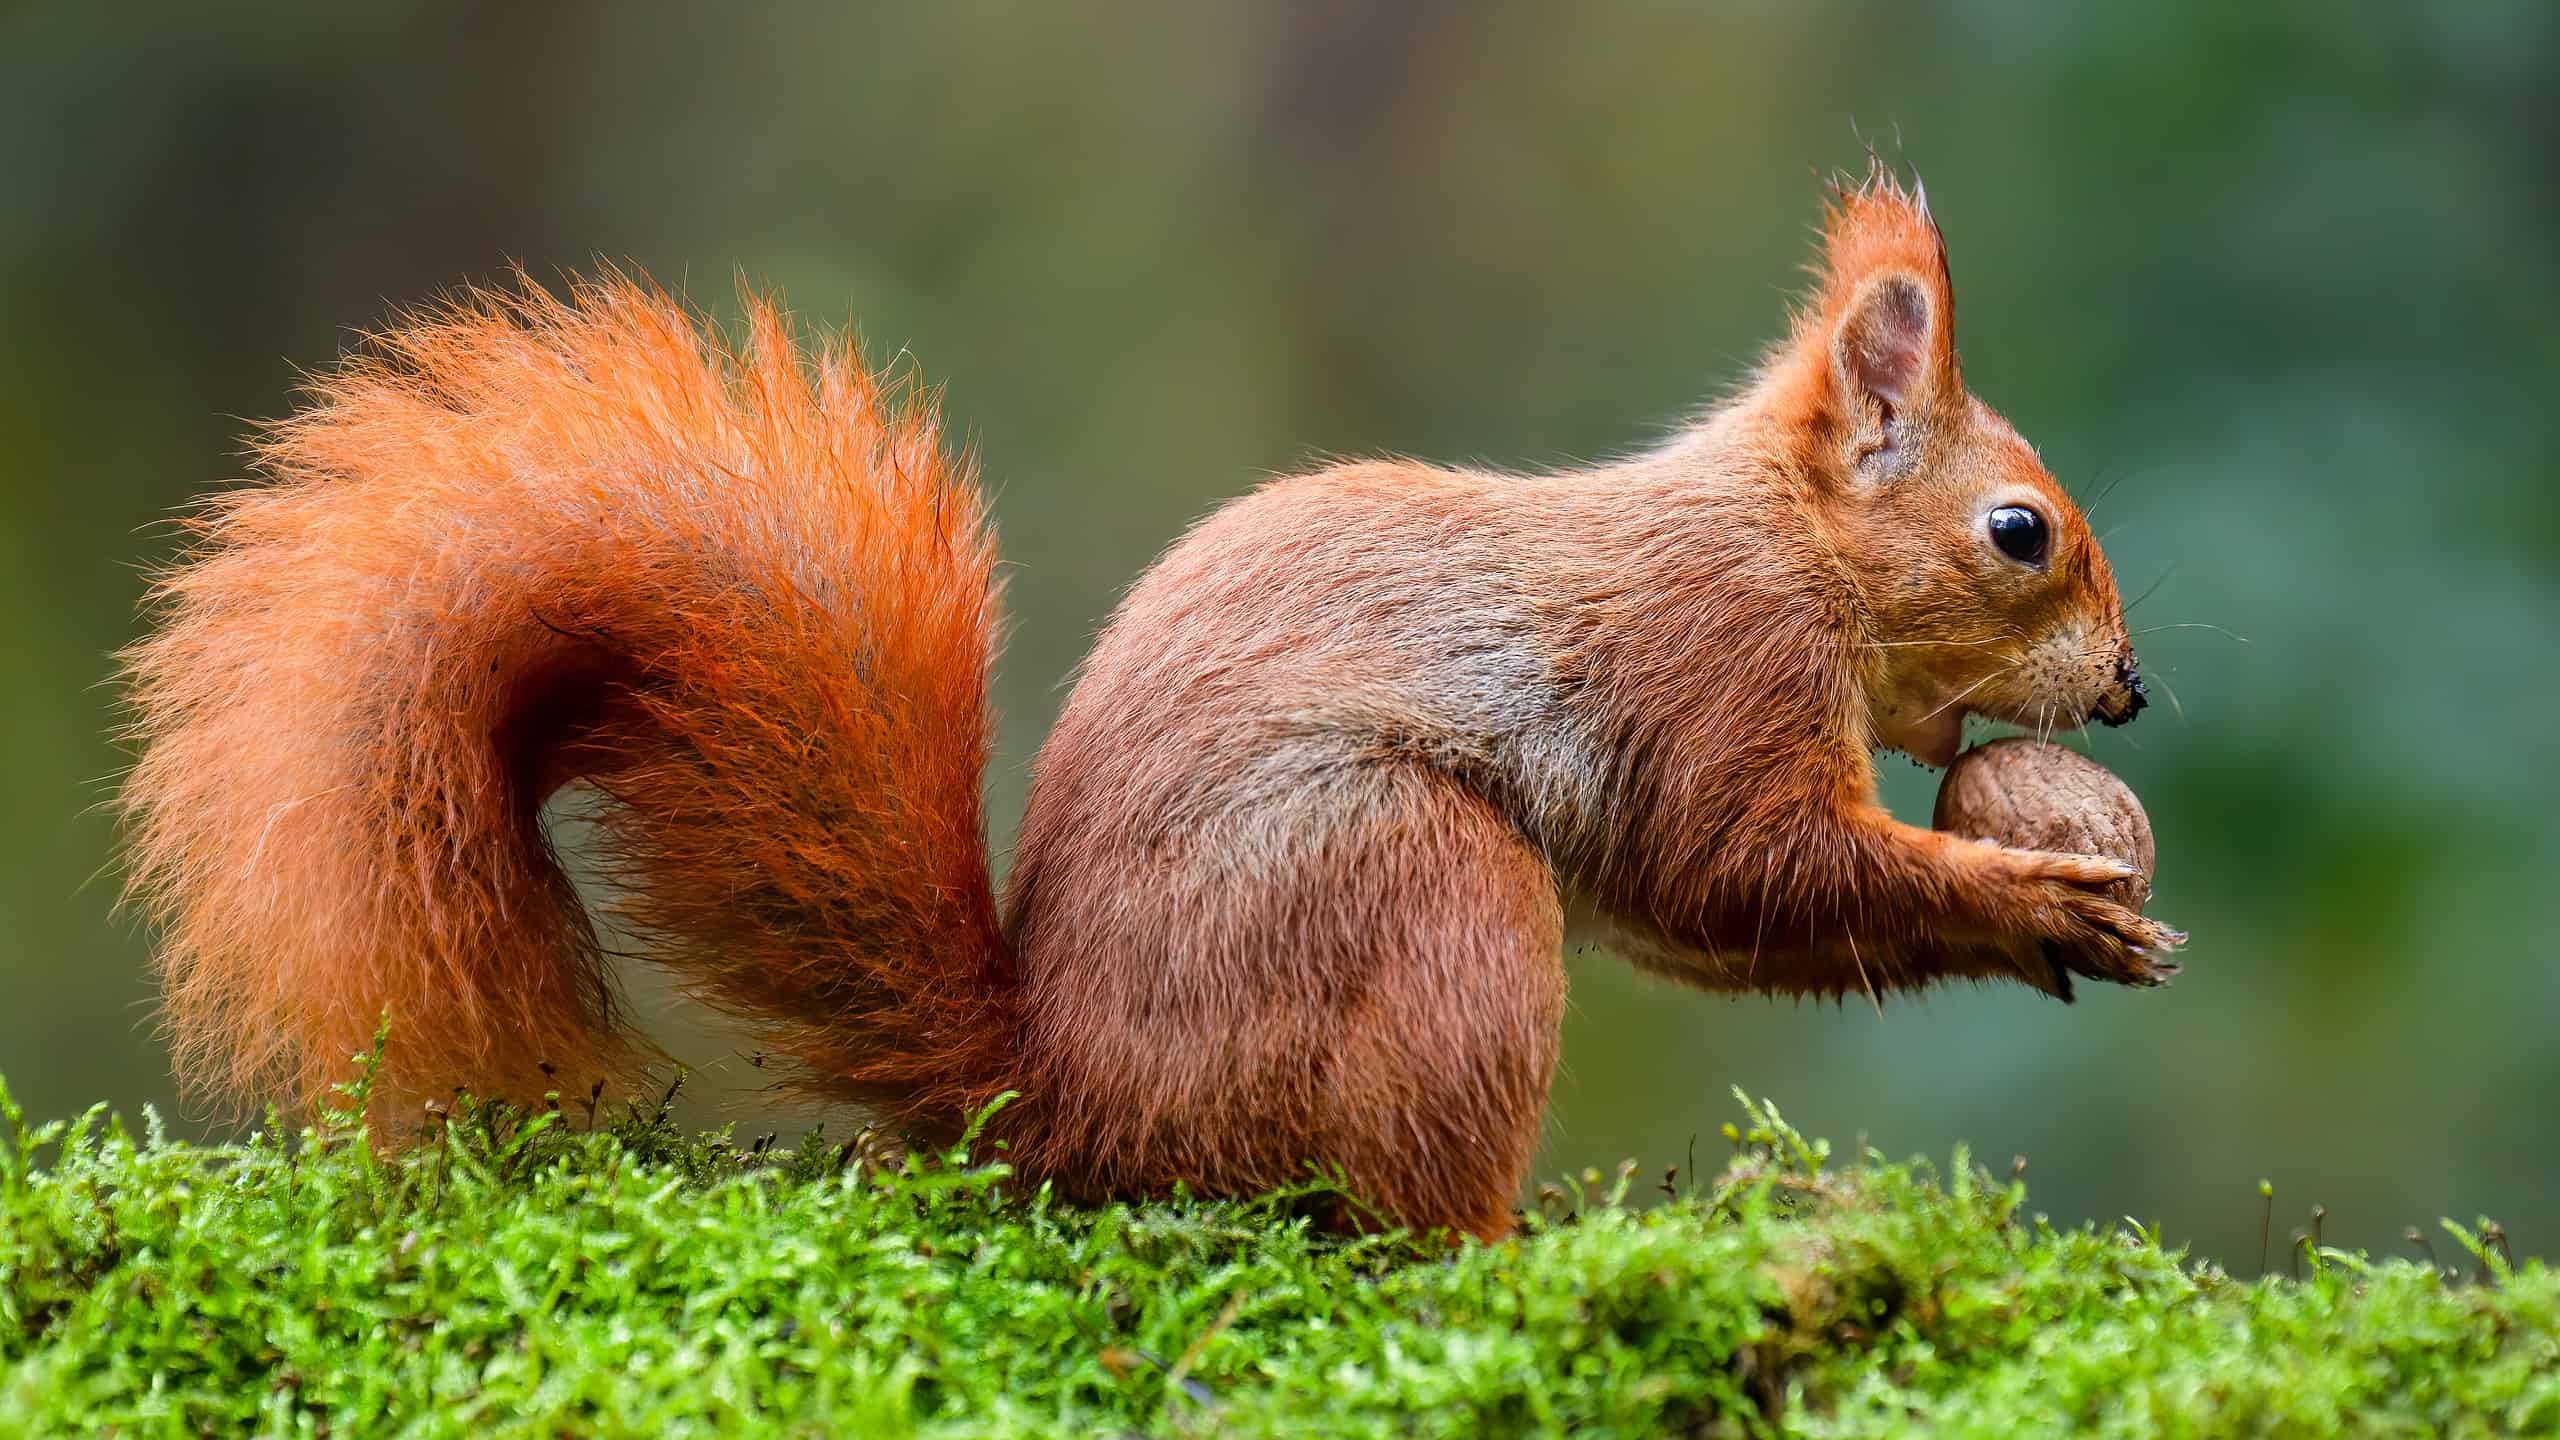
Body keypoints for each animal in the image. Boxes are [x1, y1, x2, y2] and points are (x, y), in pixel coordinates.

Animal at [124, 165, 2181, 1219]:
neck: (1782, 547)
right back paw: (1495, 1255)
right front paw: (2034, 896)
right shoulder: (1711, 674)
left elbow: (1719, 918)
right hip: (1414, 890)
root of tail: (1063, 1101)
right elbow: (1742, 871)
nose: (2135, 692)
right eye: (2017, 532)